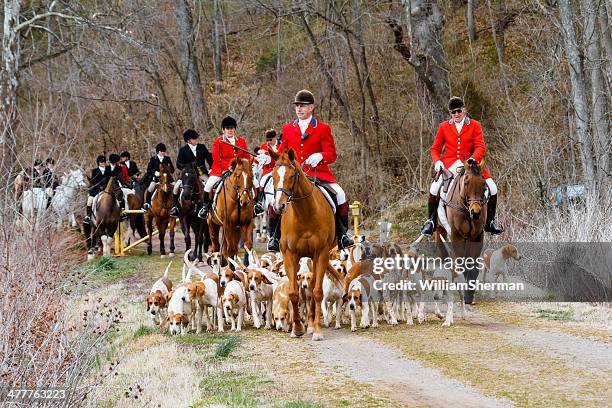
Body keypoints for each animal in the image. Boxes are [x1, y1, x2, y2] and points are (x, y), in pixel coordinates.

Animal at [436, 159, 488, 326]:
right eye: (466, 182)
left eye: (484, 184)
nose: (476, 212)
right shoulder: (457, 235)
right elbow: (460, 262)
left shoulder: (477, 236)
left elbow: (472, 265)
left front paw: (469, 295)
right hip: (440, 230)